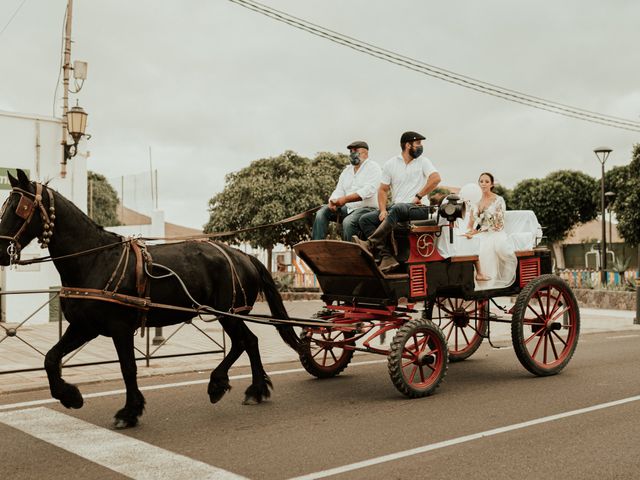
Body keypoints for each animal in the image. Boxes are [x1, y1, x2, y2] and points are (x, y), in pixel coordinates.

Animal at [0, 171, 300, 430]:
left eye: (20, 208)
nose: (1, 252)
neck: (95, 259)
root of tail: (244, 255)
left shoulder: (119, 328)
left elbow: (128, 368)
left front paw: (129, 411)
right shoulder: (84, 327)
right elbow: (51, 359)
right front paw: (70, 396)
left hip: (228, 313)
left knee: (245, 341)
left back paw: (233, 386)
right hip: (229, 314)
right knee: (247, 342)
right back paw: (249, 388)